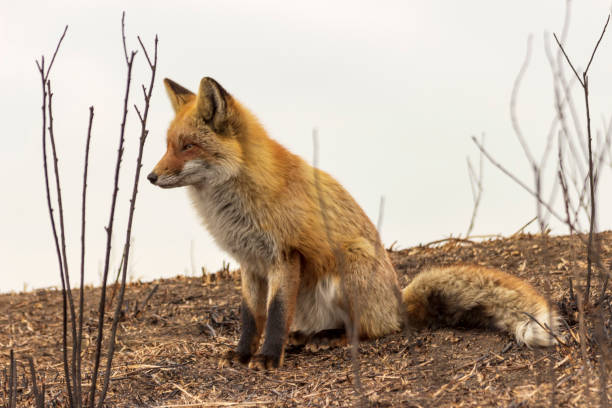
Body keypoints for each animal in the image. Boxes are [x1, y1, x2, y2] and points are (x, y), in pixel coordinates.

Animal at [148, 75, 560, 370]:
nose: (150, 177)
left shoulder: (284, 255)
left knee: (367, 330)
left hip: (346, 267)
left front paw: (267, 358)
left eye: (187, 146)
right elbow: (252, 317)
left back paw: (329, 338)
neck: (234, 203)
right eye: (167, 145)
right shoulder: (250, 263)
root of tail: (398, 304)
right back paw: (305, 337)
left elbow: (276, 314)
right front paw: (244, 354)